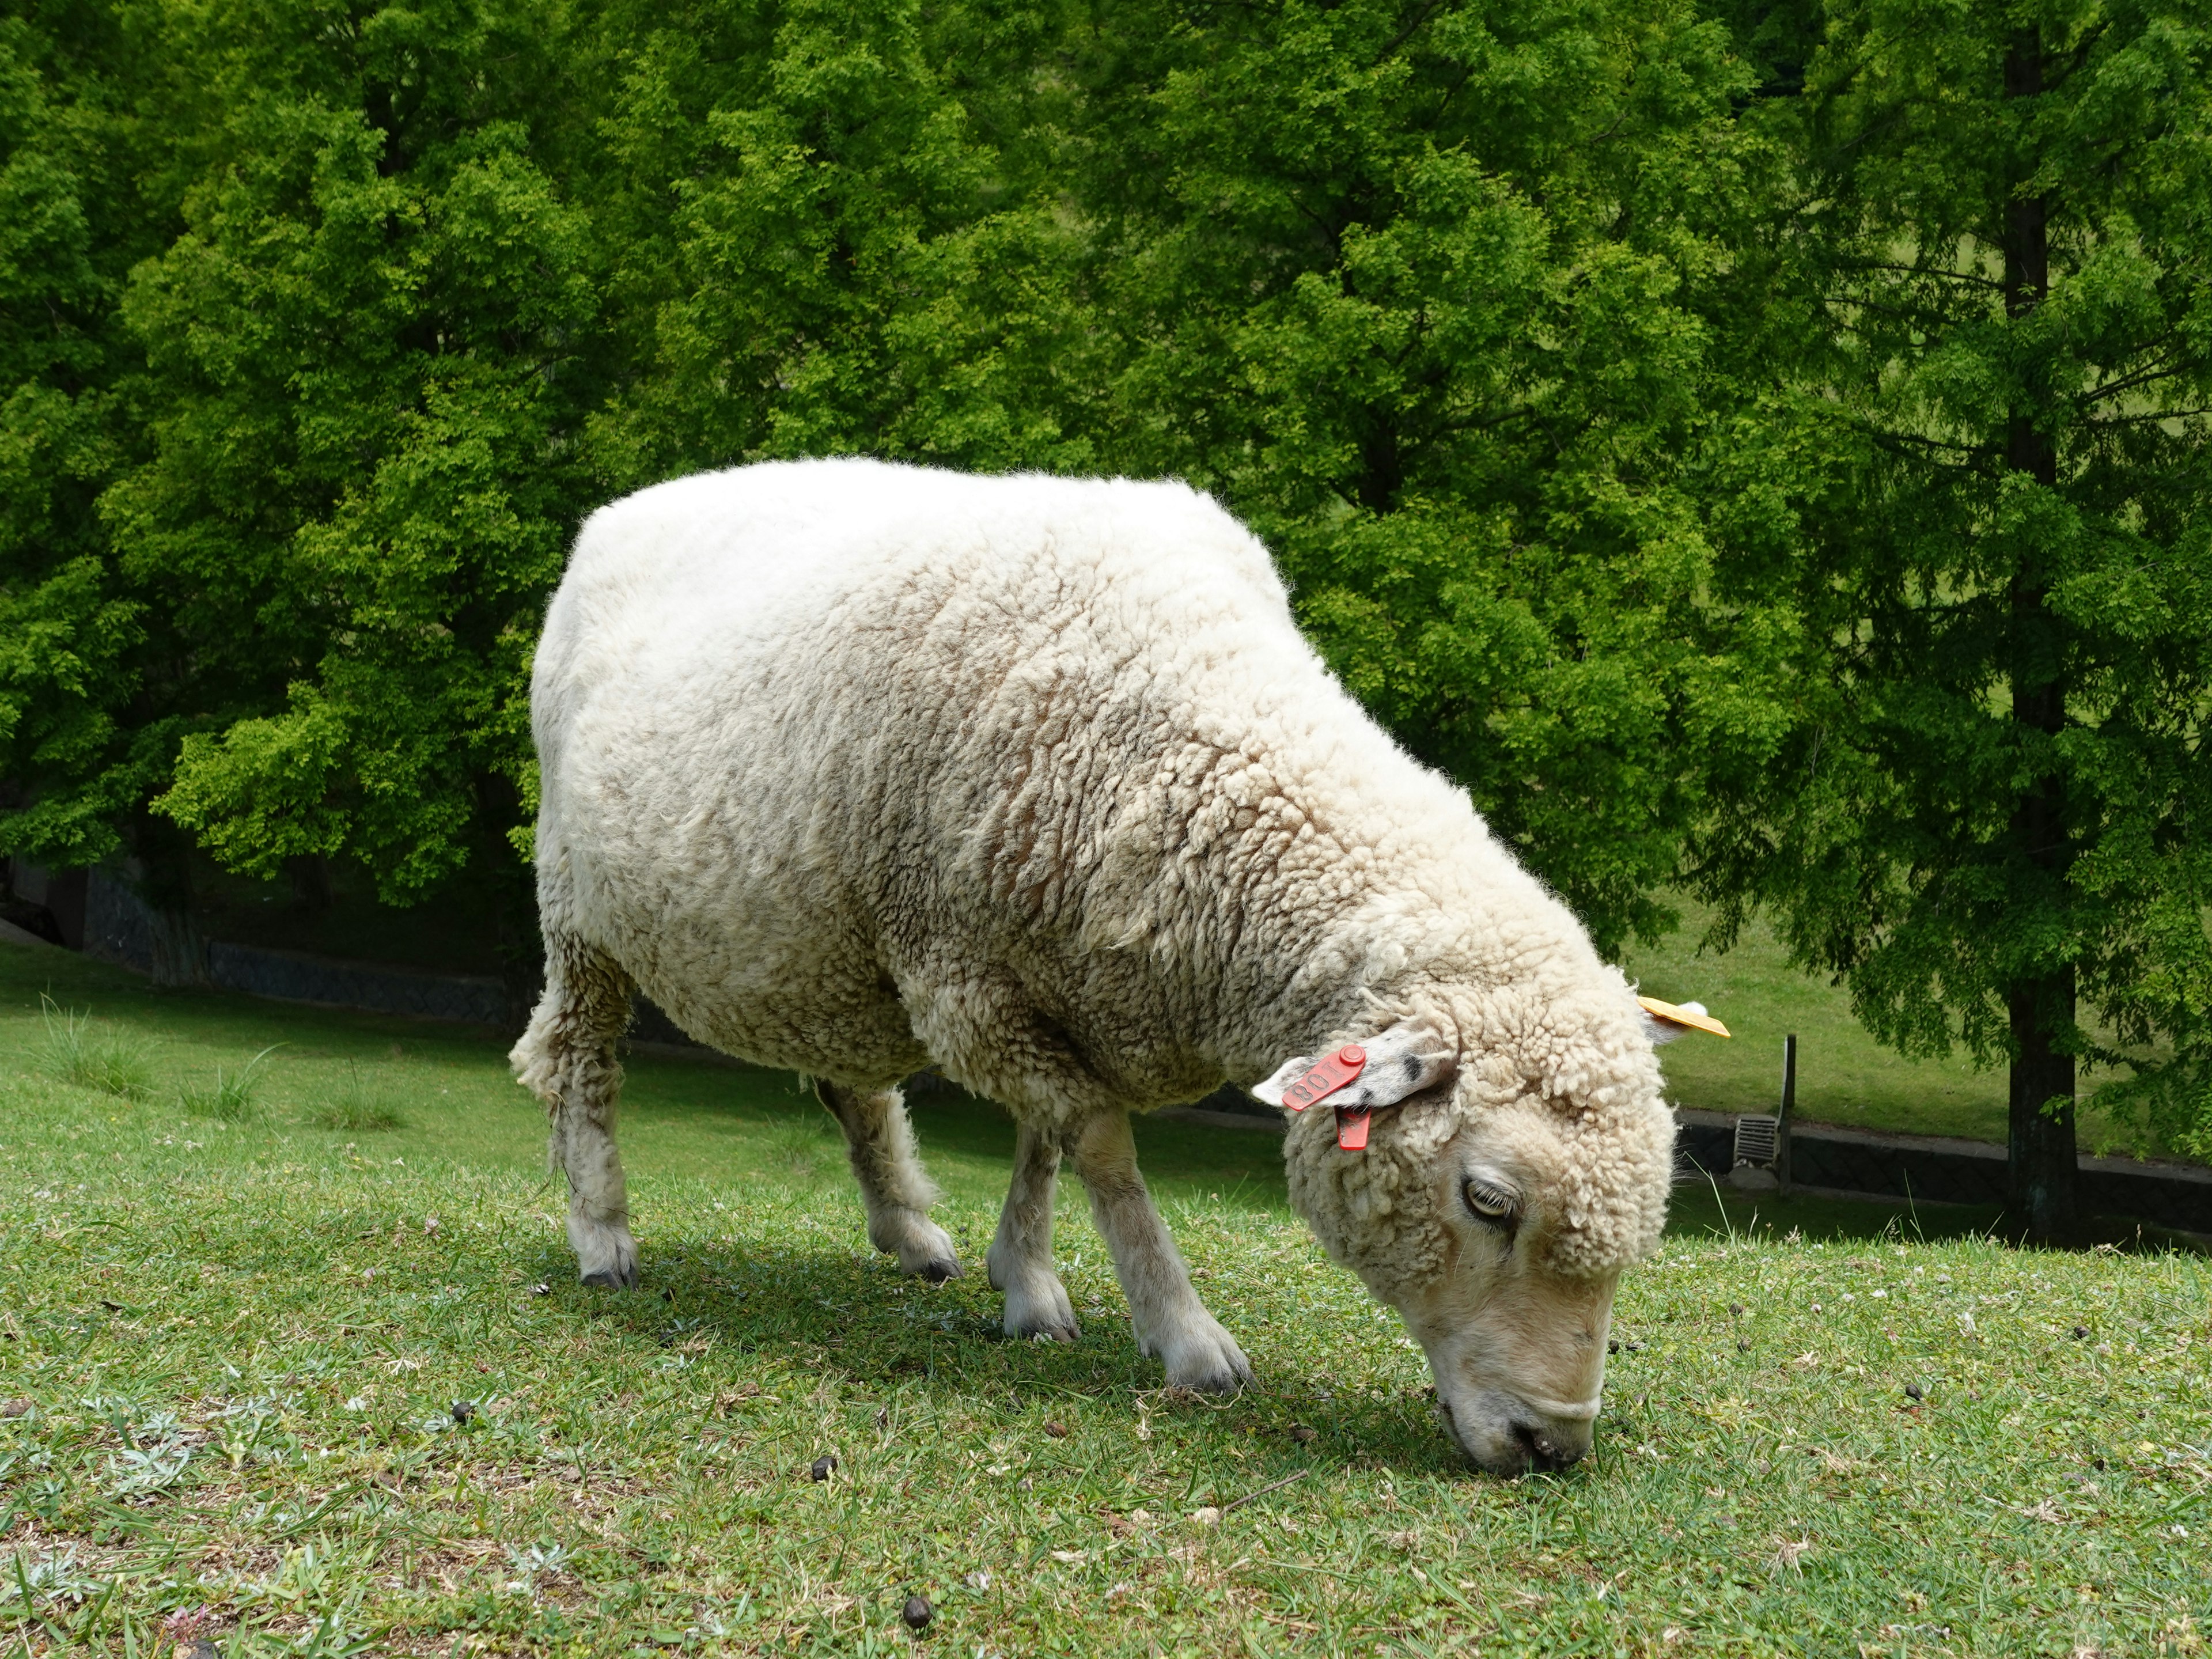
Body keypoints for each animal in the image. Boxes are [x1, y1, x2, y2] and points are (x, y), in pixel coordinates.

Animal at [513, 457, 1672, 1478]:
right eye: (1488, 1200)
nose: (1552, 1446)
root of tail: (618, 514)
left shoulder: (1049, 990)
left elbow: (1043, 1144)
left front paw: (1020, 1277)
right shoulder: (969, 978)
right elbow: (1102, 1153)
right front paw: (1186, 1334)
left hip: (822, 950)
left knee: (849, 1084)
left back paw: (908, 1228)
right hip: (581, 909)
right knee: (578, 1060)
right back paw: (603, 1236)